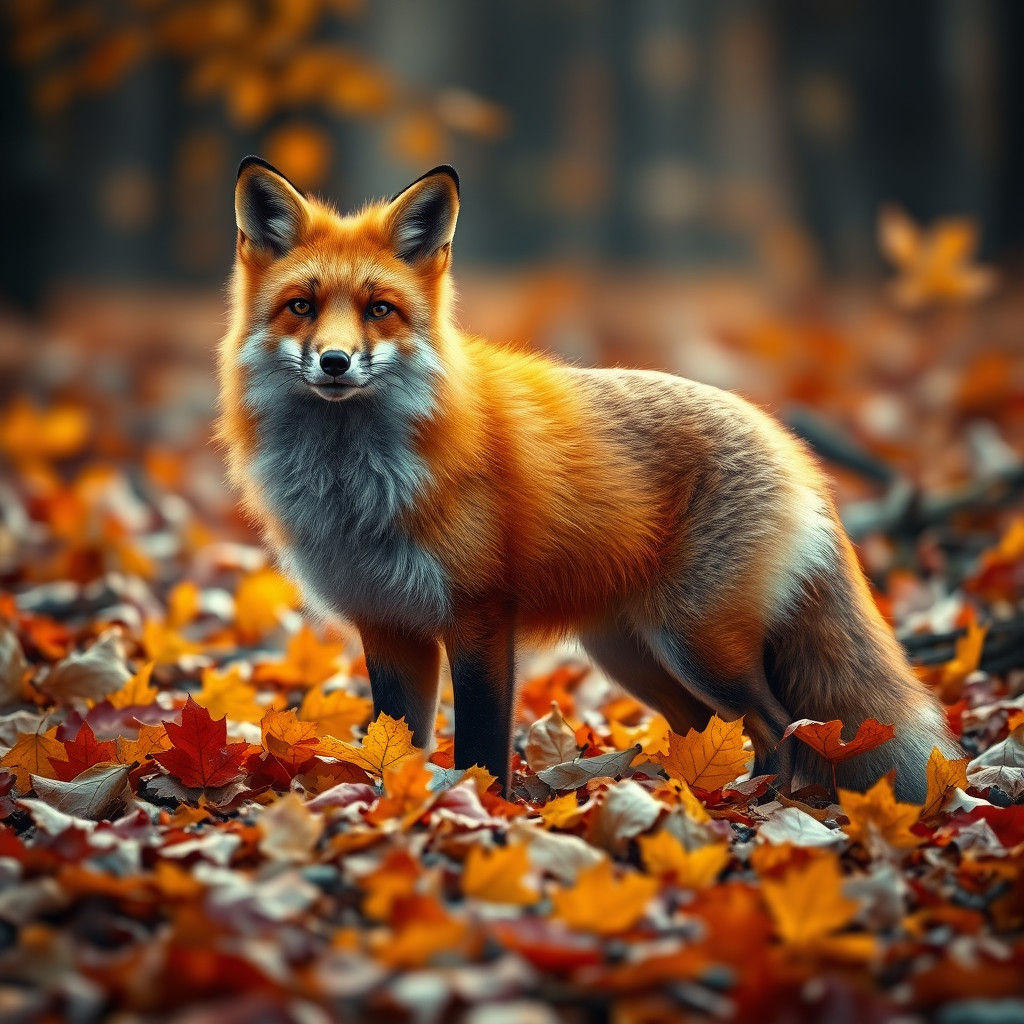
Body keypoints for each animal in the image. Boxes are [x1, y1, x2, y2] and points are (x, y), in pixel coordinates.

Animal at [218, 156, 961, 800]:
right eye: (301, 306)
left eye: (379, 309)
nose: (335, 361)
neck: (356, 485)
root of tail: (786, 439)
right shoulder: (388, 623)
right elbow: (396, 745)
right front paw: (390, 808)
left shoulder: (479, 616)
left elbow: (481, 743)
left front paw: (487, 806)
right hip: (631, 654)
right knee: (712, 727)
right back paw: (695, 790)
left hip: (697, 643)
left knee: (781, 728)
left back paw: (757, 803)